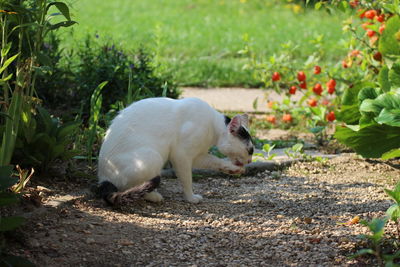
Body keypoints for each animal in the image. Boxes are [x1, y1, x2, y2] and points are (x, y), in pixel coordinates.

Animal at [97, 97, 253, 206]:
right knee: (130, 187)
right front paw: (190, 198)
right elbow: (187, 179)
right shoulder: (181, 154)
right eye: (250, 150)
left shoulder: (198, 156)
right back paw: (153, 196)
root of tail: (103, 177)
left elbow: (216, 161)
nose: (250, 161)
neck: (213, 126)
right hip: (152, 157)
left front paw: (233, 169)